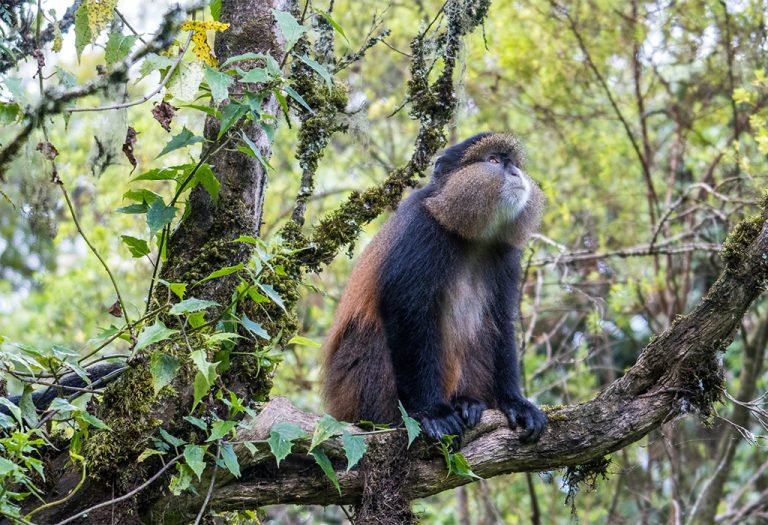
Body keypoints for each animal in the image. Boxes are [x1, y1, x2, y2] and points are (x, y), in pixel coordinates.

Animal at [322, 132, 547, 444]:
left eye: (512, 163)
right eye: (493, 161)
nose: (515, 173)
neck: (470, 237)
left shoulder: (506, 254)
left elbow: (500, 320)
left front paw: (514, 401)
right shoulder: (421, 231)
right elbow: (407, 312)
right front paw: (432, 413)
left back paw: (466, 402)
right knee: (374, 335)